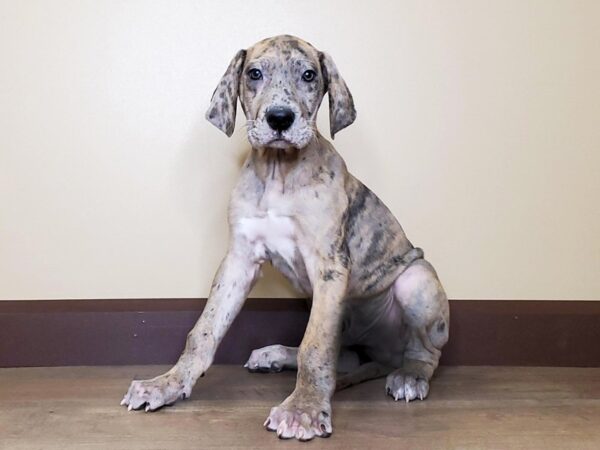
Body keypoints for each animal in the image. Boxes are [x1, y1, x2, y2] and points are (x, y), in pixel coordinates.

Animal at [123, 34, 450, 440]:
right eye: (254, 73)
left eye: (309, 75)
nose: (280, 118)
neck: (279, 171)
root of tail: (385, 355)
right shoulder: (239, 260)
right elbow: (204, 330)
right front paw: (167, 383)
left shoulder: (328, 265)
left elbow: (316, 345)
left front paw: (303, 409)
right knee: (343, 355)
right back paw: (276, 354)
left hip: (415, 279)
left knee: (423, 353)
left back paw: (410, 377)